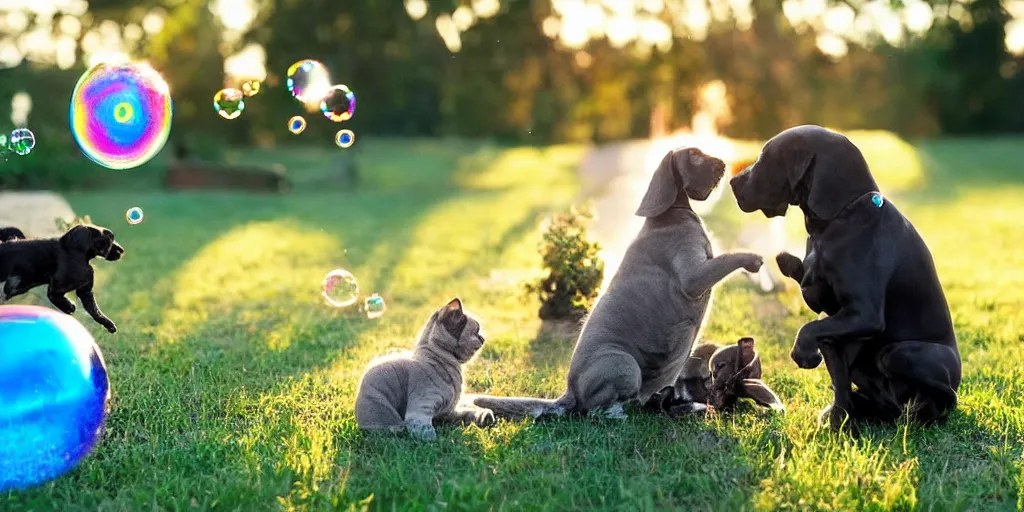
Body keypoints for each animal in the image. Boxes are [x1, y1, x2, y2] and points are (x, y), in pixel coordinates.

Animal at [354, 299, 493, 442]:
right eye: (477, 331)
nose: (483, 338)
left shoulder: (448, 412)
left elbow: (467, 413)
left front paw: (485, 416)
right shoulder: (421, 409)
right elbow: (427, 432)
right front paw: (438, 442)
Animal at [729, 124, 958, 428]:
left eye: (766, 156)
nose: (733, 182)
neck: (839, 215)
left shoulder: (864, 313)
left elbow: (809, 327)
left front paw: (803, 353)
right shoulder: (831, 312)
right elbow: (837, 375)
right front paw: (837, 420)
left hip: (899, 353)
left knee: (941, 398)